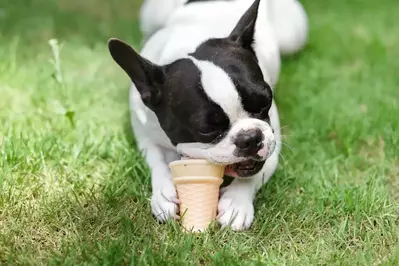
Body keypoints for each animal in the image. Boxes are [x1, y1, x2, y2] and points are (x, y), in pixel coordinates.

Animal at [109, 0, 310, 231]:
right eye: (206, 130)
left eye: (265, 102)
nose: (250, 137)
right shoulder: (145, 135)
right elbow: (156, 161)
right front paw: (162, 195)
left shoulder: (272, 143)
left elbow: (256, 172)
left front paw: (236, 203)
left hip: (292, 35)